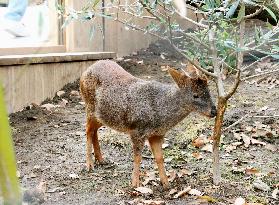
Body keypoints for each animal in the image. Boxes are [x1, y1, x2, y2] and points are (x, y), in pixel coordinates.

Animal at [80, 58, 218, 188]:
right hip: (90, 108)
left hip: (105, 117)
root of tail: (87, 70)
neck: (160, 111)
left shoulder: (157, 134)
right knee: (88, 130)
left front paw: (166, 184)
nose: (214, 111)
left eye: (208, 91)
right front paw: (135, 183)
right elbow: (138, 157)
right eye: (195, 95)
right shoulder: (137, 130)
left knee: (94, 131)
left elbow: (159, 158)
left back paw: (101, 160)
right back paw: (89, 164)